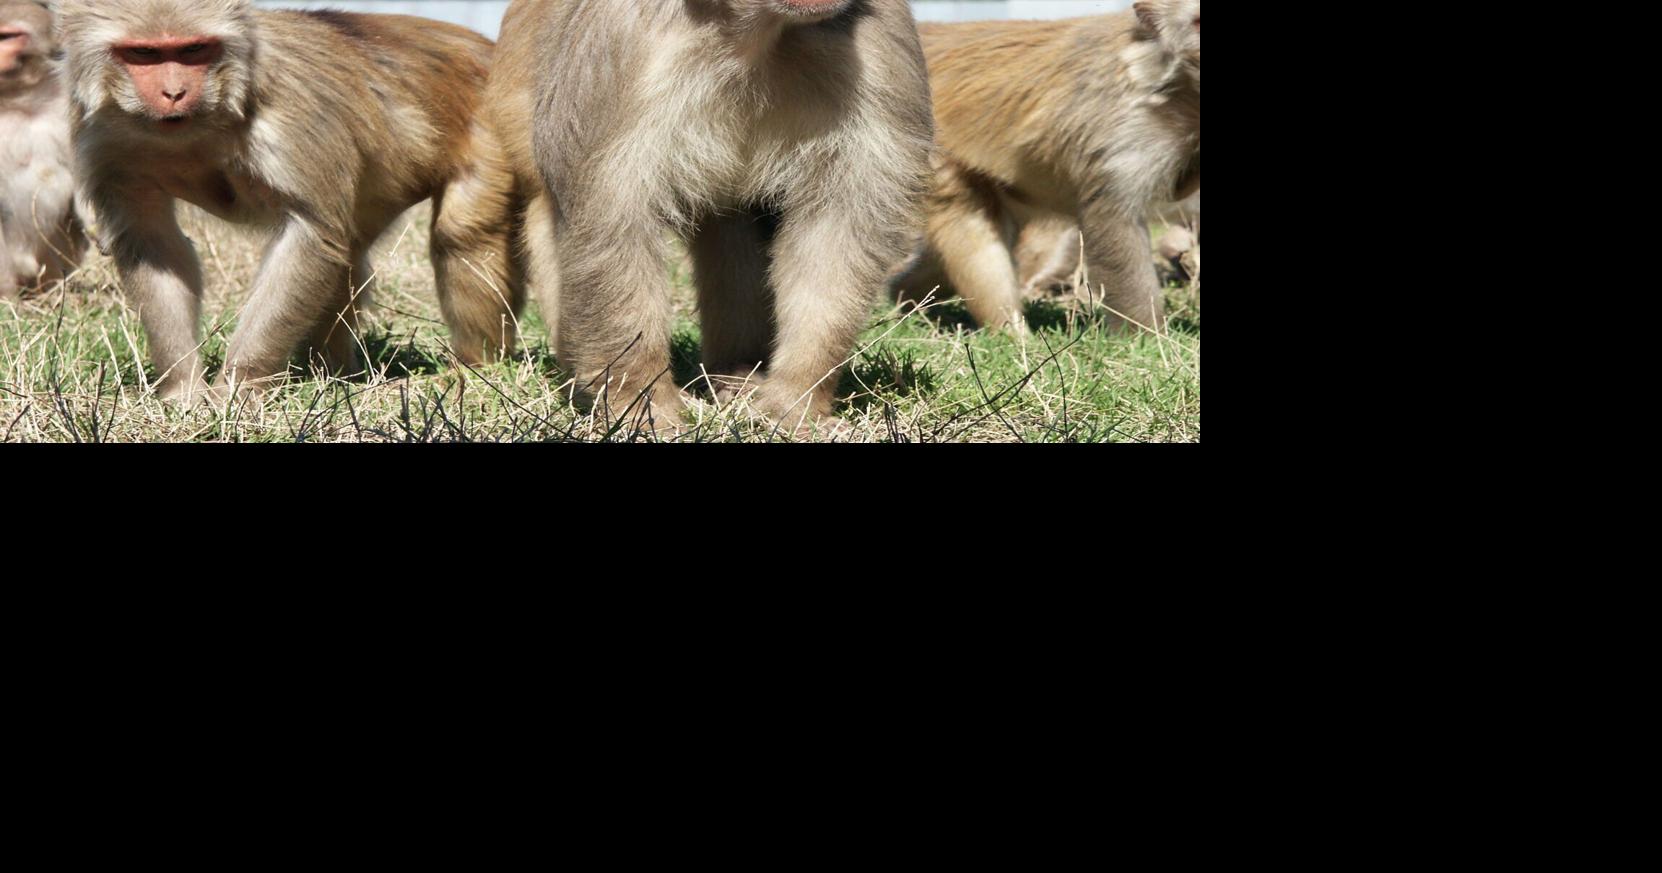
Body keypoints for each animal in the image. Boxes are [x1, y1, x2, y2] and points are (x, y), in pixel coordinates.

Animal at [57, 0, 522, 400]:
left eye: (193, 50)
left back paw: (475, 368)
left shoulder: (291, 112)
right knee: (349, 259)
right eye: (144, 53)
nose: (174, 92)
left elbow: (309, 234)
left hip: (496, 122)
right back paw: (333, 374)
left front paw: (238, 390)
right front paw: (183, 389)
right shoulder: (107, 139)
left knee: (460, 236)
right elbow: (154, 245)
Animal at [485, 0, 934, 430]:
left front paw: (795, 403)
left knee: (732, 226)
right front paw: (645, 407)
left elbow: (839, 227)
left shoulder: (878, 44)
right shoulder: (619, 44)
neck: (752, 34)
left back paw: (737, 374)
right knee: (546, 213)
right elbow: (611, 220)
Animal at [891, 1, 1200, 333]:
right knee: (972, 229)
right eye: (1197, 22)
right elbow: (1114, 219)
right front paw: (1146, 335)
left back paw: (907, 300)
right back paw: (1013, 333)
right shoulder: (1121, 125)